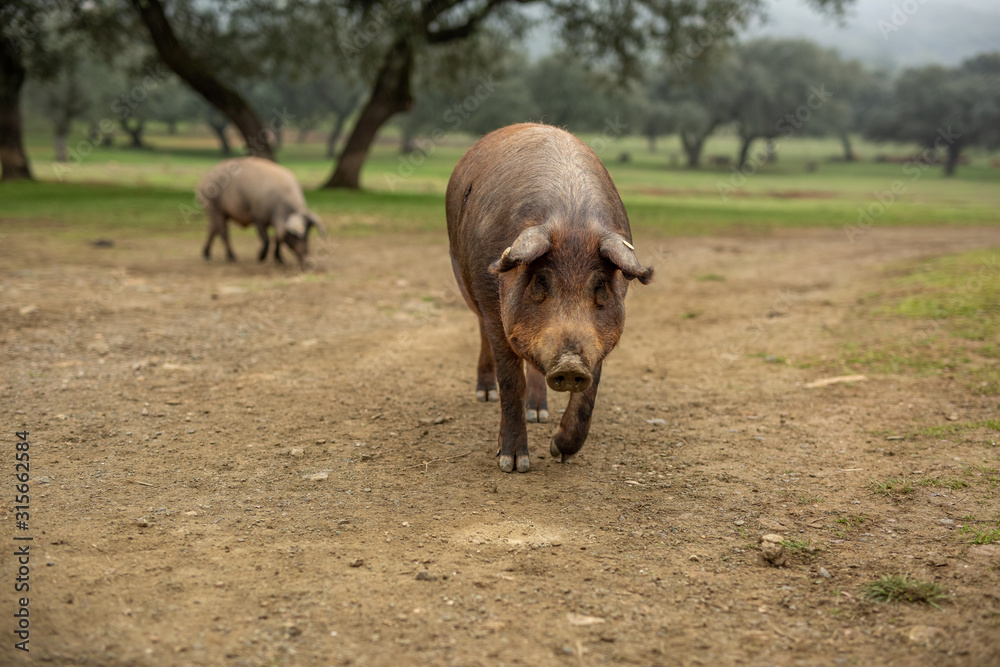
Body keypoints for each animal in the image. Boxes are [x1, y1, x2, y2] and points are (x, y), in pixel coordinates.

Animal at [446, 123, 653, 473]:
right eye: (541, 280)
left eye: (600, 285)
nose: (570, 364)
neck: (572, 219)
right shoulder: (494, 307)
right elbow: (510, 380)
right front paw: (513, 464)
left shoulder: (597, 336)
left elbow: (591, 390)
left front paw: (560, 451)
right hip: (464, 277)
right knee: (482, 332)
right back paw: (486, 395)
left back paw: (539, 414)